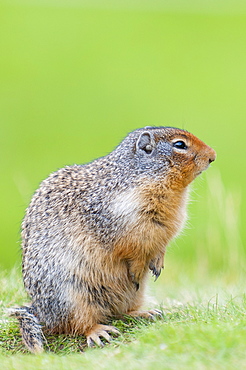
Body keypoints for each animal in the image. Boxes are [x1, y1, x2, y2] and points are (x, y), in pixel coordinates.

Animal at [10, 126, 215, 352]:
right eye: (179, 145)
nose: (213, 156)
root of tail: (41, 312)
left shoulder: (166, 226)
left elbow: (160, 245)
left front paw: (158, 263)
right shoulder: (119, 221)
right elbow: (131, 248)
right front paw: (137, 269)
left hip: (132, 295)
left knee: (120, 313)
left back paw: (146, 313)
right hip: (71, 296)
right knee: (77, 324)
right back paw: (99, 332)